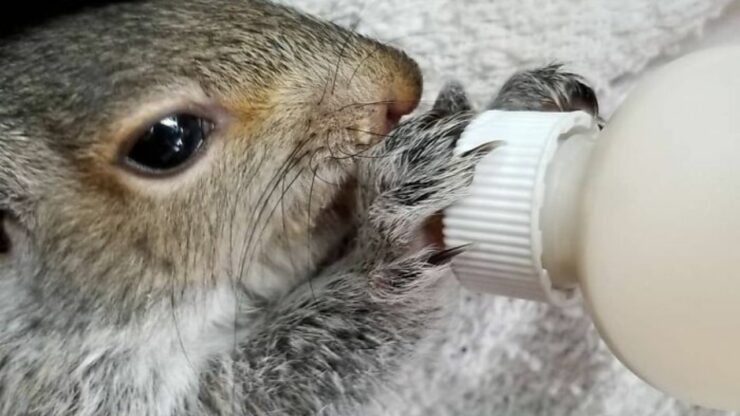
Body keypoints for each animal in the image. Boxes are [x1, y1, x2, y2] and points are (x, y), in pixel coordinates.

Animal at [0, 1, 600, 414]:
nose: (403, 84)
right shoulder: (65, 392)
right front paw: (390, 245)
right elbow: (243, 395)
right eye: (167, 140)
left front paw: (508, 102)